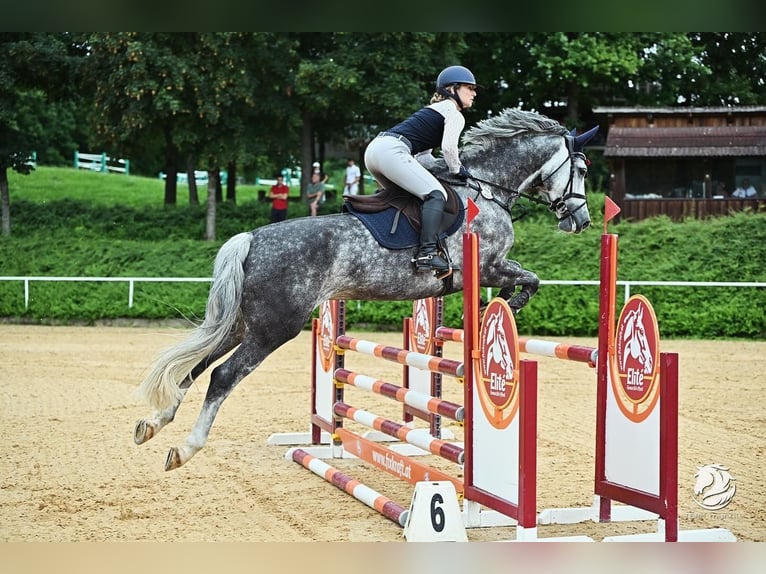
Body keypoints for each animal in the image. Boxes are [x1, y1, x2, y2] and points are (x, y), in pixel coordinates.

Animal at [134, 107, 597, 471]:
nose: (581, 220)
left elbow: (526, 280)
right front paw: (505, 308)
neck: (487, 188)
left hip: (242, 325)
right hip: (274, 328)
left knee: (194, 366)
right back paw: (186, 449)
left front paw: (498, 312)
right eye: (582, 170)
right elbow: (529, 279)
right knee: (222, 375)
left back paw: (153, 425)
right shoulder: (487, 268)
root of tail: (251, 239)